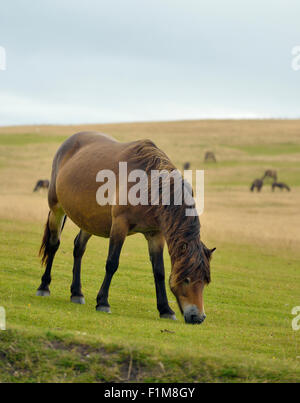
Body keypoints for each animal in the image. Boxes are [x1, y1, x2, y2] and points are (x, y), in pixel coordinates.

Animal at [37, 133, 216, 326]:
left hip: (88, 219)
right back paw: (44, 286)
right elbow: (112, 263)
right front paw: (103, 302)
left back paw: (76, 293)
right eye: (187, 279)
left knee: (79, 248)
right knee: (53, 245)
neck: (147, 185)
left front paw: (165, 309)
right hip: (57, 209)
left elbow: (159, 271)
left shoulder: (156, 235)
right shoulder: (119, 225)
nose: (198, 317)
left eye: (205, 281)